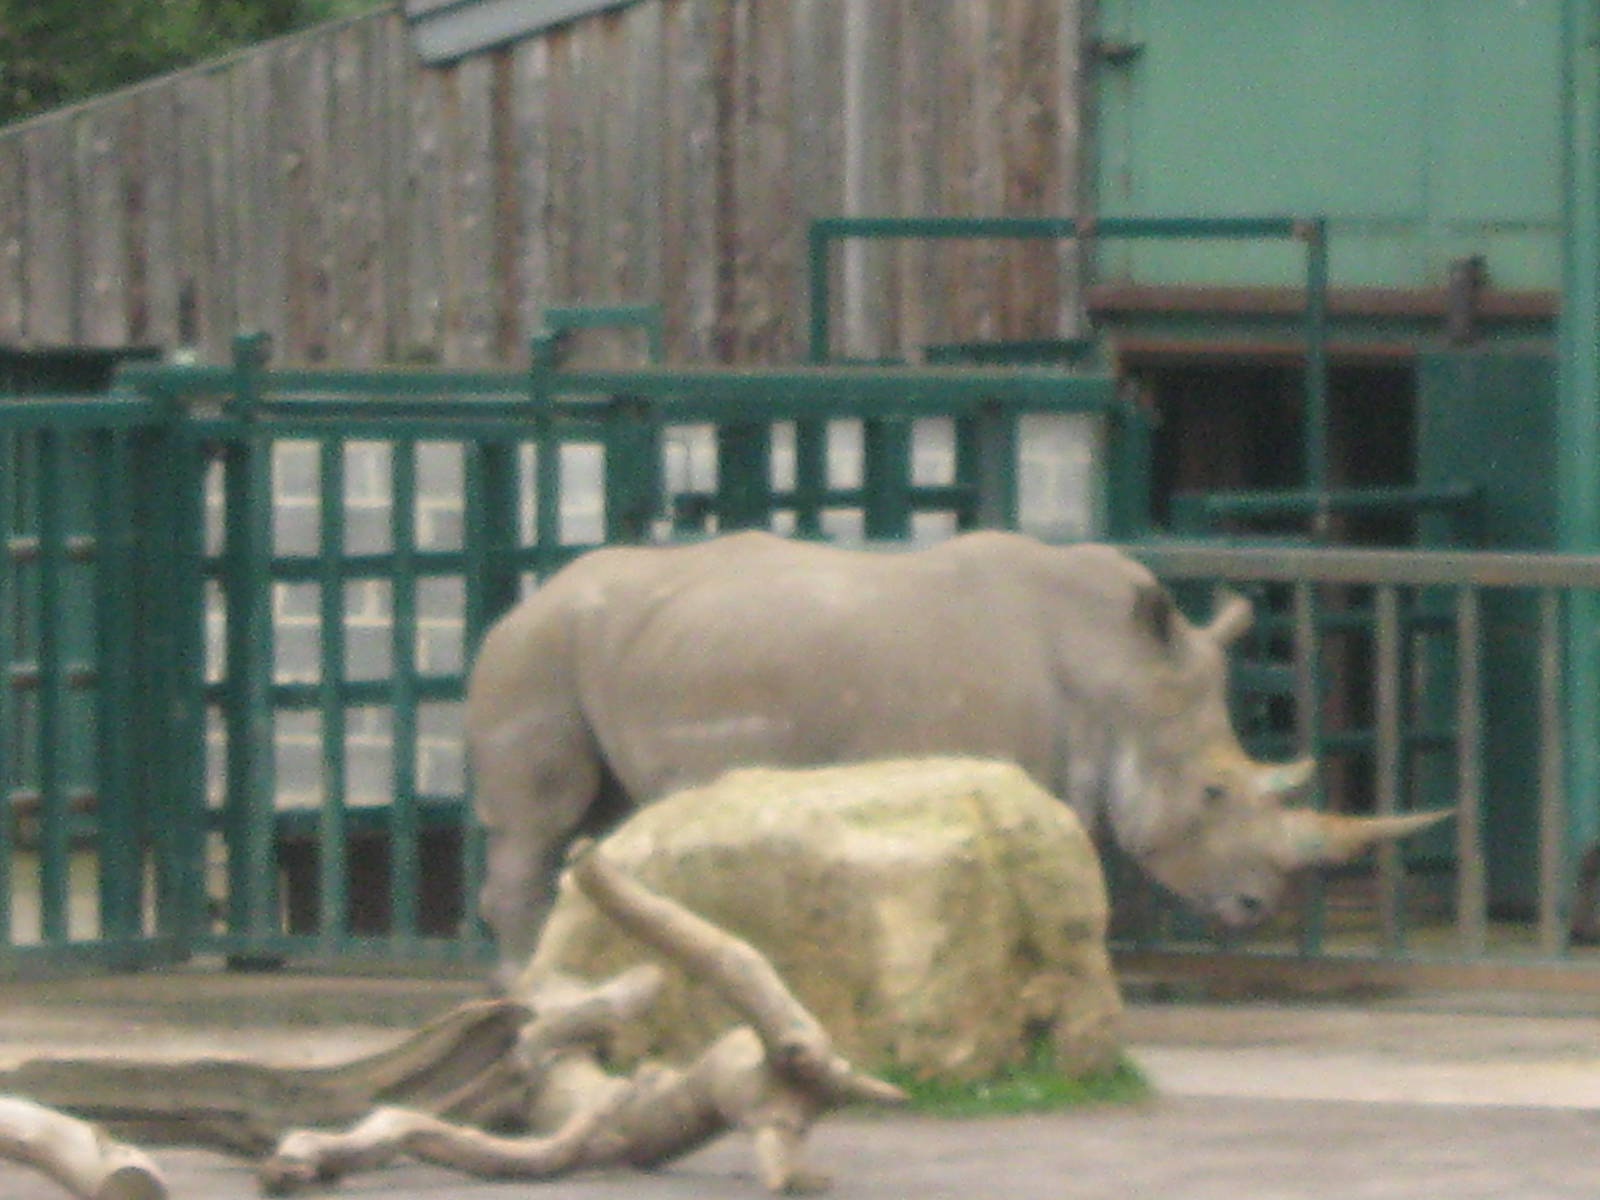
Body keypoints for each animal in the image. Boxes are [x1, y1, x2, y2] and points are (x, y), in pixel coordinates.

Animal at [466, 530, 1448, 973]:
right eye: (1213, 794)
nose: (1256, 906)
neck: (1114, 671)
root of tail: (524, 595)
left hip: (630, 646)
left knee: (606, 821)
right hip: (538, 650)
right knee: (542, 820)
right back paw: (524, 990)